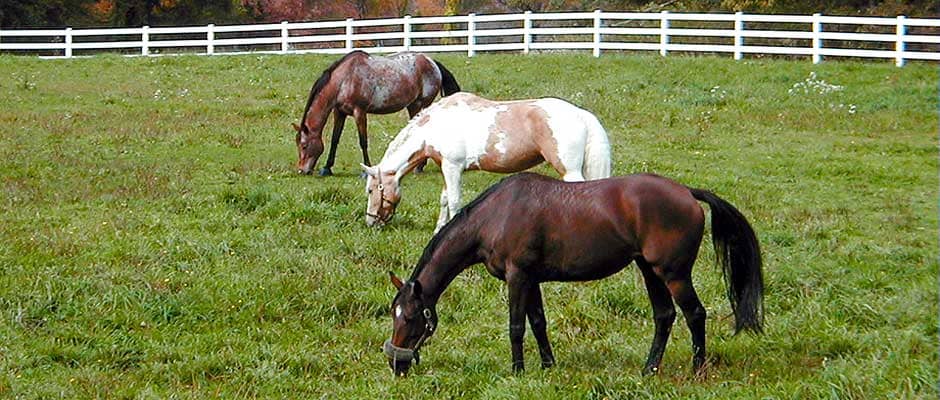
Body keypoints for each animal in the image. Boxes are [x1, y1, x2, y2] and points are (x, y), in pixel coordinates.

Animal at [293, 50, 461, 176]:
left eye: (304, 146)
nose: (302, 170)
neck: (344, 80)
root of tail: (432, 62)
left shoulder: (359, 112)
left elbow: (363, 141)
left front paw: (365, 170)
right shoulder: (339, 112)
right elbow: (335, 139)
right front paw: (327, 168)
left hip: (422, 104)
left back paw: (419, 167)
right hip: (412, 106)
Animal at [361, 92, 611, 232]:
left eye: (372, 190)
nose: (370, 222)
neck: (435, 126)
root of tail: (581, 114)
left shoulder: (452, 167)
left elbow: (454, 201)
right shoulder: (447, 168)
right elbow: (445, 200)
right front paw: (438, 229)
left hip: (569, 171)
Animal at [383, 172, 764, 377]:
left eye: (413, 317)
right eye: (394, 314)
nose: (395, 363)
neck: (497, 215)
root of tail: (687, 192)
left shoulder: (518, 277)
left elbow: (516, 327)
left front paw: (518, 370)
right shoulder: (531, 279)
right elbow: (538, 322)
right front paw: (547, 365)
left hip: (674, 274)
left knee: (694, 314)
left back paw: (697, 368)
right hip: (650, 271)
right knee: (665, 316)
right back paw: (649, 369)